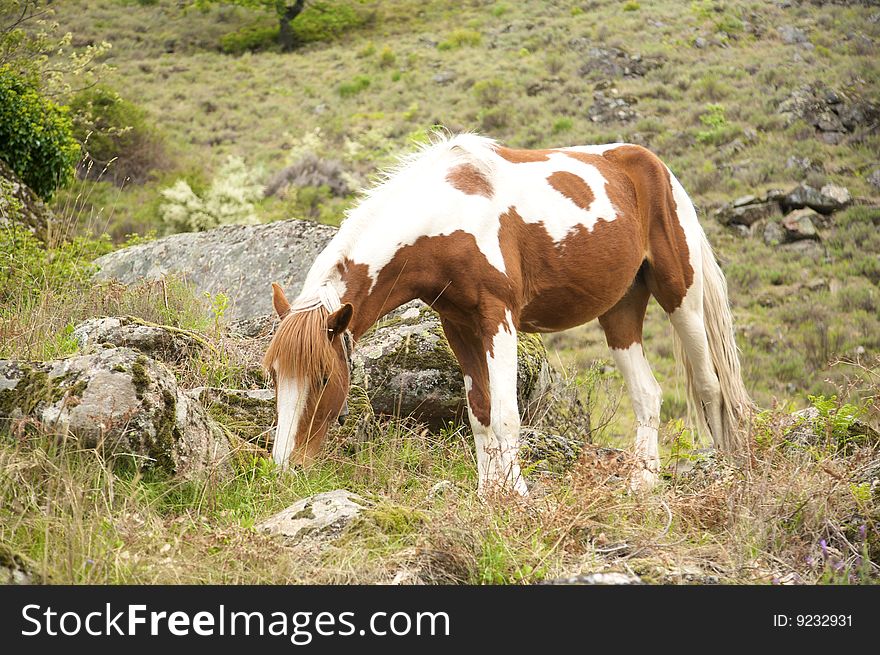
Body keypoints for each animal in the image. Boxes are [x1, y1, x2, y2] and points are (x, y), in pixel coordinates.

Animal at [262, 133, 748, 494]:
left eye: (324, 377)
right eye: (275, 376)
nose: (286, 467)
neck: (447, 215)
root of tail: (656, 167)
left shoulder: (499, 319)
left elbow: (505, 415)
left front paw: (516, 494)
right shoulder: (458, 326)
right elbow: (479, 413)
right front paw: (487, 493)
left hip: (681, 296)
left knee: (710, 387)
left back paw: (727, 475)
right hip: (620, 311)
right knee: (648, 394)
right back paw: (643, 484)